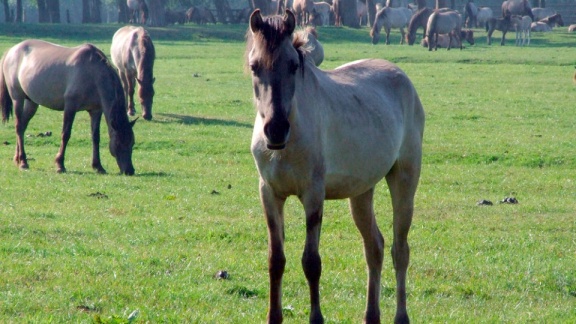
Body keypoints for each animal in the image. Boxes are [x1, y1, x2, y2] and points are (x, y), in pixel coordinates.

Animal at [0, 39, 136, 175]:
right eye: (118, 144)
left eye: (132, 142)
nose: (129, 170)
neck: (93, 73)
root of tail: (11, 51)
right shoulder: (70, 106)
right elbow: (66, 134)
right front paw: (60, 164)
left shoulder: (96, 110)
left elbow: (95, 137)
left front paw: (98, 166)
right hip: (17, 98)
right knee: (18, 127)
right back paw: (23, 162)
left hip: (32, 103)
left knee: (22, 127)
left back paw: (17, 159)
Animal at [245, 8, 426, 324]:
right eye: (255, 66)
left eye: (293, 65)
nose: (276, 130)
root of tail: (403, 79)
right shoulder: (269, 193)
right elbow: (276, 259)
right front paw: (273, 316)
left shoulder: (313, 195)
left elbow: (311, 262)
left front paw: (316, 317)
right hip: (362, 192)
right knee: (374, 248)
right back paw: (371, 315)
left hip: (404, 181)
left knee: (399, 250)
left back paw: (400, 316)